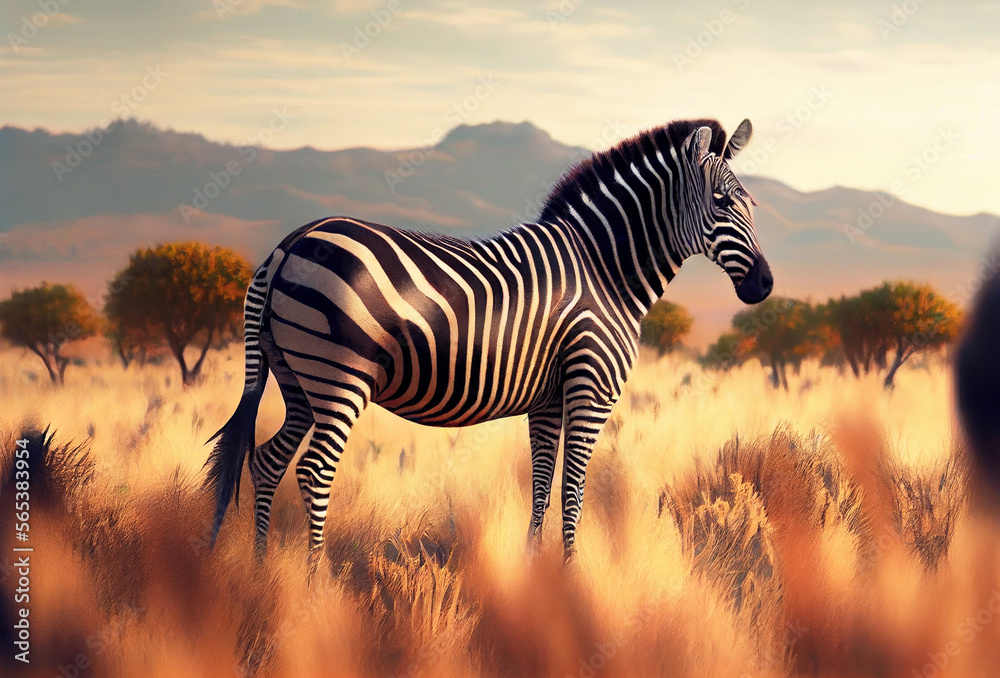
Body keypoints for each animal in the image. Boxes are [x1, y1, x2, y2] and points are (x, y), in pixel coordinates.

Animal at [206, 117, 772, 571]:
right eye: (721, 202)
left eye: (752, 204)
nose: (763, 286)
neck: (604, 270)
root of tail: (290, 243)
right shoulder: (591, 390)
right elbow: (572, 490)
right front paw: (574, 580)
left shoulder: (549, 399)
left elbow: (542, 486)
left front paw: (535, 575)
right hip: (339, 379)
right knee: (313, 472)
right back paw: (313, 585)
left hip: (297, 378)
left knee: (267, 461)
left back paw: (262, 574)